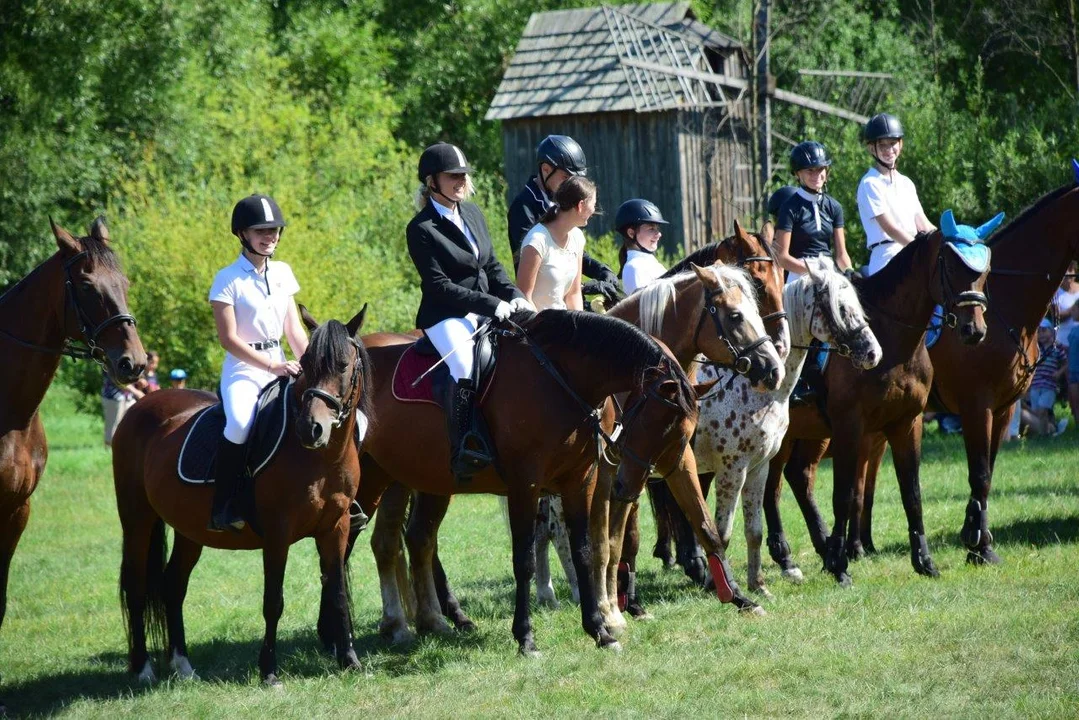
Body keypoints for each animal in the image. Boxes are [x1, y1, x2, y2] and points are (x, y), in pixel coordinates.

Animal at [111, 306, 369, 686]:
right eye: (306, 363)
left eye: (343, 365)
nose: (312, 428)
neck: (322, 458)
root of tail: (140, 406)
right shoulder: (277, 533)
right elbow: (273, 600)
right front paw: (269, 671)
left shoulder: (335, 528)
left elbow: (336, 593)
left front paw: (350, 661)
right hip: (137, 519)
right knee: (137, 586)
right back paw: (143, 668)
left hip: (189, 530)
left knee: (173, 585)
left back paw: (183, 665)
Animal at [755, 221, 988, 587]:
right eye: (951, 266)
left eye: (984, 271)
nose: (973, 330)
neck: (893, 343)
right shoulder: (851, 427)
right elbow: (845, 494)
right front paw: (841, 566)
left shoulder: (906, 424)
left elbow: (911, 494)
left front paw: (924, 561)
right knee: (773, 487)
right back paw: (789, 556)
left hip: (810, 434)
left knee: (798, 476)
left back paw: (818, 548)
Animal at [850, 172, 1079, 561]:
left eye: (982, 270)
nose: (974, 331)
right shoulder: (977, 404)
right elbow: (980, 472)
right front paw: (978, 544)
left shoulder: (1003, 408)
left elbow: (988, 468)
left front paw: (979, 539)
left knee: (867, 467)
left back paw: (862, 544)